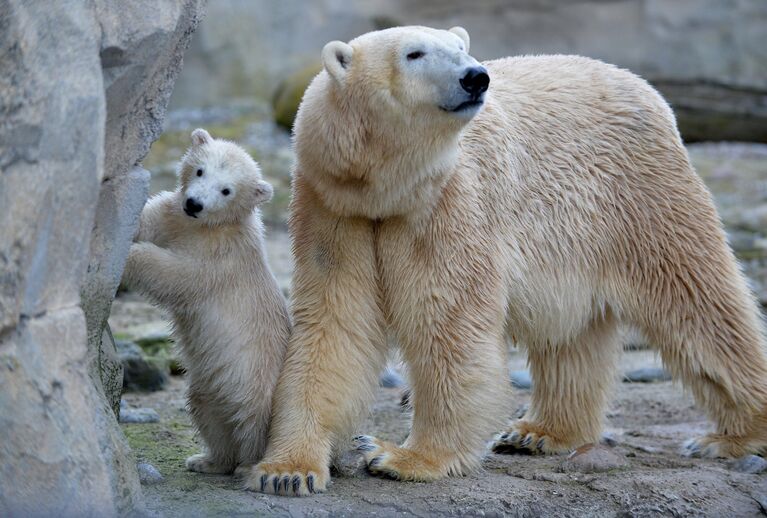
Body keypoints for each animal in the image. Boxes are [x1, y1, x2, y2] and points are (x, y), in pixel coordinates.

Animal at [246, 26, 767, 498]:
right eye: (414, 53)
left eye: (461, 47)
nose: (476, 76)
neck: (385, 191)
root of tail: (642, 86)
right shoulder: (333, 208)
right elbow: (335, 323)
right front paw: (286, 472)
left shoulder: (447, 203)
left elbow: (448, 323)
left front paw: (402, 457)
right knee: (572, 333)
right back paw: (540, 432)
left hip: (642, 197)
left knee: (698, 303)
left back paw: (731, 436)